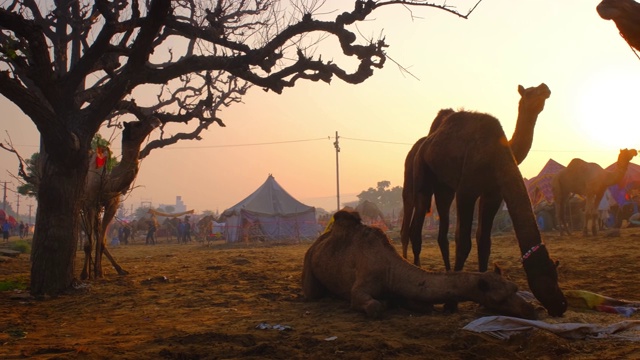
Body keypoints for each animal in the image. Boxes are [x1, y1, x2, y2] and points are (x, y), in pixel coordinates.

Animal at [302, 210, 536, 320]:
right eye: (499, 298)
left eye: (515, 288)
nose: (530, 309)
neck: (390, 271)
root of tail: (318, 240)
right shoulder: (361, 286)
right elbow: (373, 305)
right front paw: (381, 304)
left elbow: (425, 306)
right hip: (308, 262)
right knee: (312, 293)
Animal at [402, 83, 552, 270]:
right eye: (530, 92)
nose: (545, 87)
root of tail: (421, 145)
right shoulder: (466, 190)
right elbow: (463, 241)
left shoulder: (491, 192)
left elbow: (483, 240)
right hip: (419, 176)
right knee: (413, 224)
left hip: (444, 188)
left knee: (440, 231)